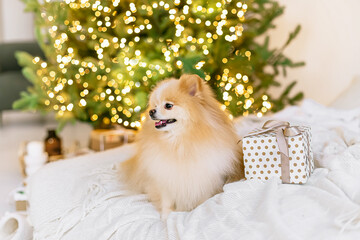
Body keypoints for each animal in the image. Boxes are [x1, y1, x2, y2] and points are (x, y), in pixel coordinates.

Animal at [122, 74, 243, 218]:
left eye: (168, 106)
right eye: (155, 105)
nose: (151, 111)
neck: (179, 141)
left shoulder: (206, 177)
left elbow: (204, 199)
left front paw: (198, 211)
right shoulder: (165, 175)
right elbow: (167, 200)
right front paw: (166, 216)